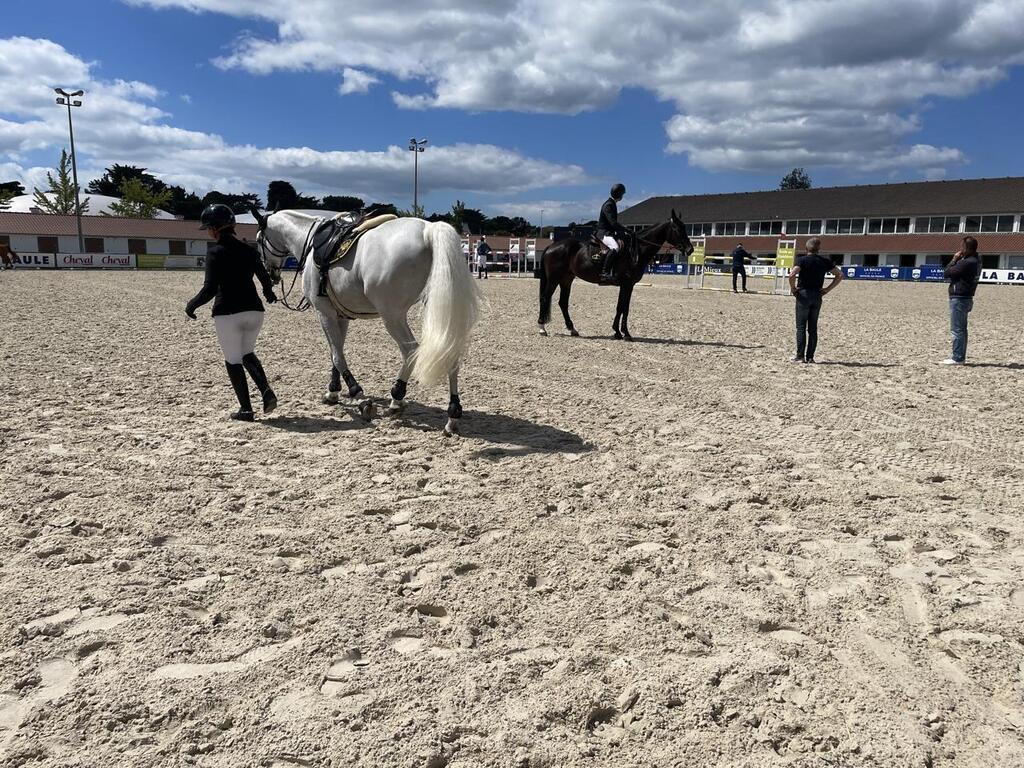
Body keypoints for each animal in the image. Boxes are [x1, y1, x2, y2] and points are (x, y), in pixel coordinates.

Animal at [253, 210, 481, 436]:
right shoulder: (340, 316)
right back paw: (452, 415)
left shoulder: (324, 313)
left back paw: (397, 398)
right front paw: (333, 392)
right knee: (448, 351)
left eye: (258, 241)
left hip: (392, 316)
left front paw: (358, 395)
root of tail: (428, 229)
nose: (271, 275)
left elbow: (336, 356)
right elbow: (336, 352)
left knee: (410, 350)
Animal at [536, 211, 696, 342]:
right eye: (678, 229)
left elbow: (622, 307)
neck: (636, 251)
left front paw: (618, 332)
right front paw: (625, 333)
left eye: (685, 228)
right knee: (545, 298)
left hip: (566, 280)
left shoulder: (627, 285)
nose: (690, 249)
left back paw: (572, 329)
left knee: (563, 303)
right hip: (554, 279)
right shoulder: (627, 284)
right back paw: (542, 328)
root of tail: (552, 246)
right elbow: (623, 307)